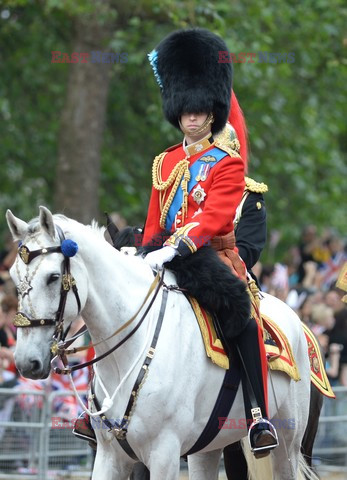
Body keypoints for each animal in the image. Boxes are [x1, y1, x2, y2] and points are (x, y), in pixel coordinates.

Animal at [6, 207, 320, 480]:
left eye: (53, 277)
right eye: (13, 277)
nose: (26, 361)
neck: (127, 354)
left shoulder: (163, 455)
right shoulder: (110, 455)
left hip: (288, 445)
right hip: (208, 447)